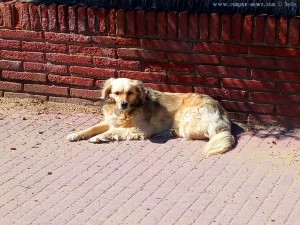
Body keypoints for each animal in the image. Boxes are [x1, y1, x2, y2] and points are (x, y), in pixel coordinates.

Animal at [67, 78, 236, 156]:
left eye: (130, 93)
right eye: (117, 93)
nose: (123, 104)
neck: (128, 111)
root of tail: (221, 110)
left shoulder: (141, 129)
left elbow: (112, 131)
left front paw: (98, 137)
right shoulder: (111, 121)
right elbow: (91, 128)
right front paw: (76, 134)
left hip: (188, 119)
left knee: (205, 134)